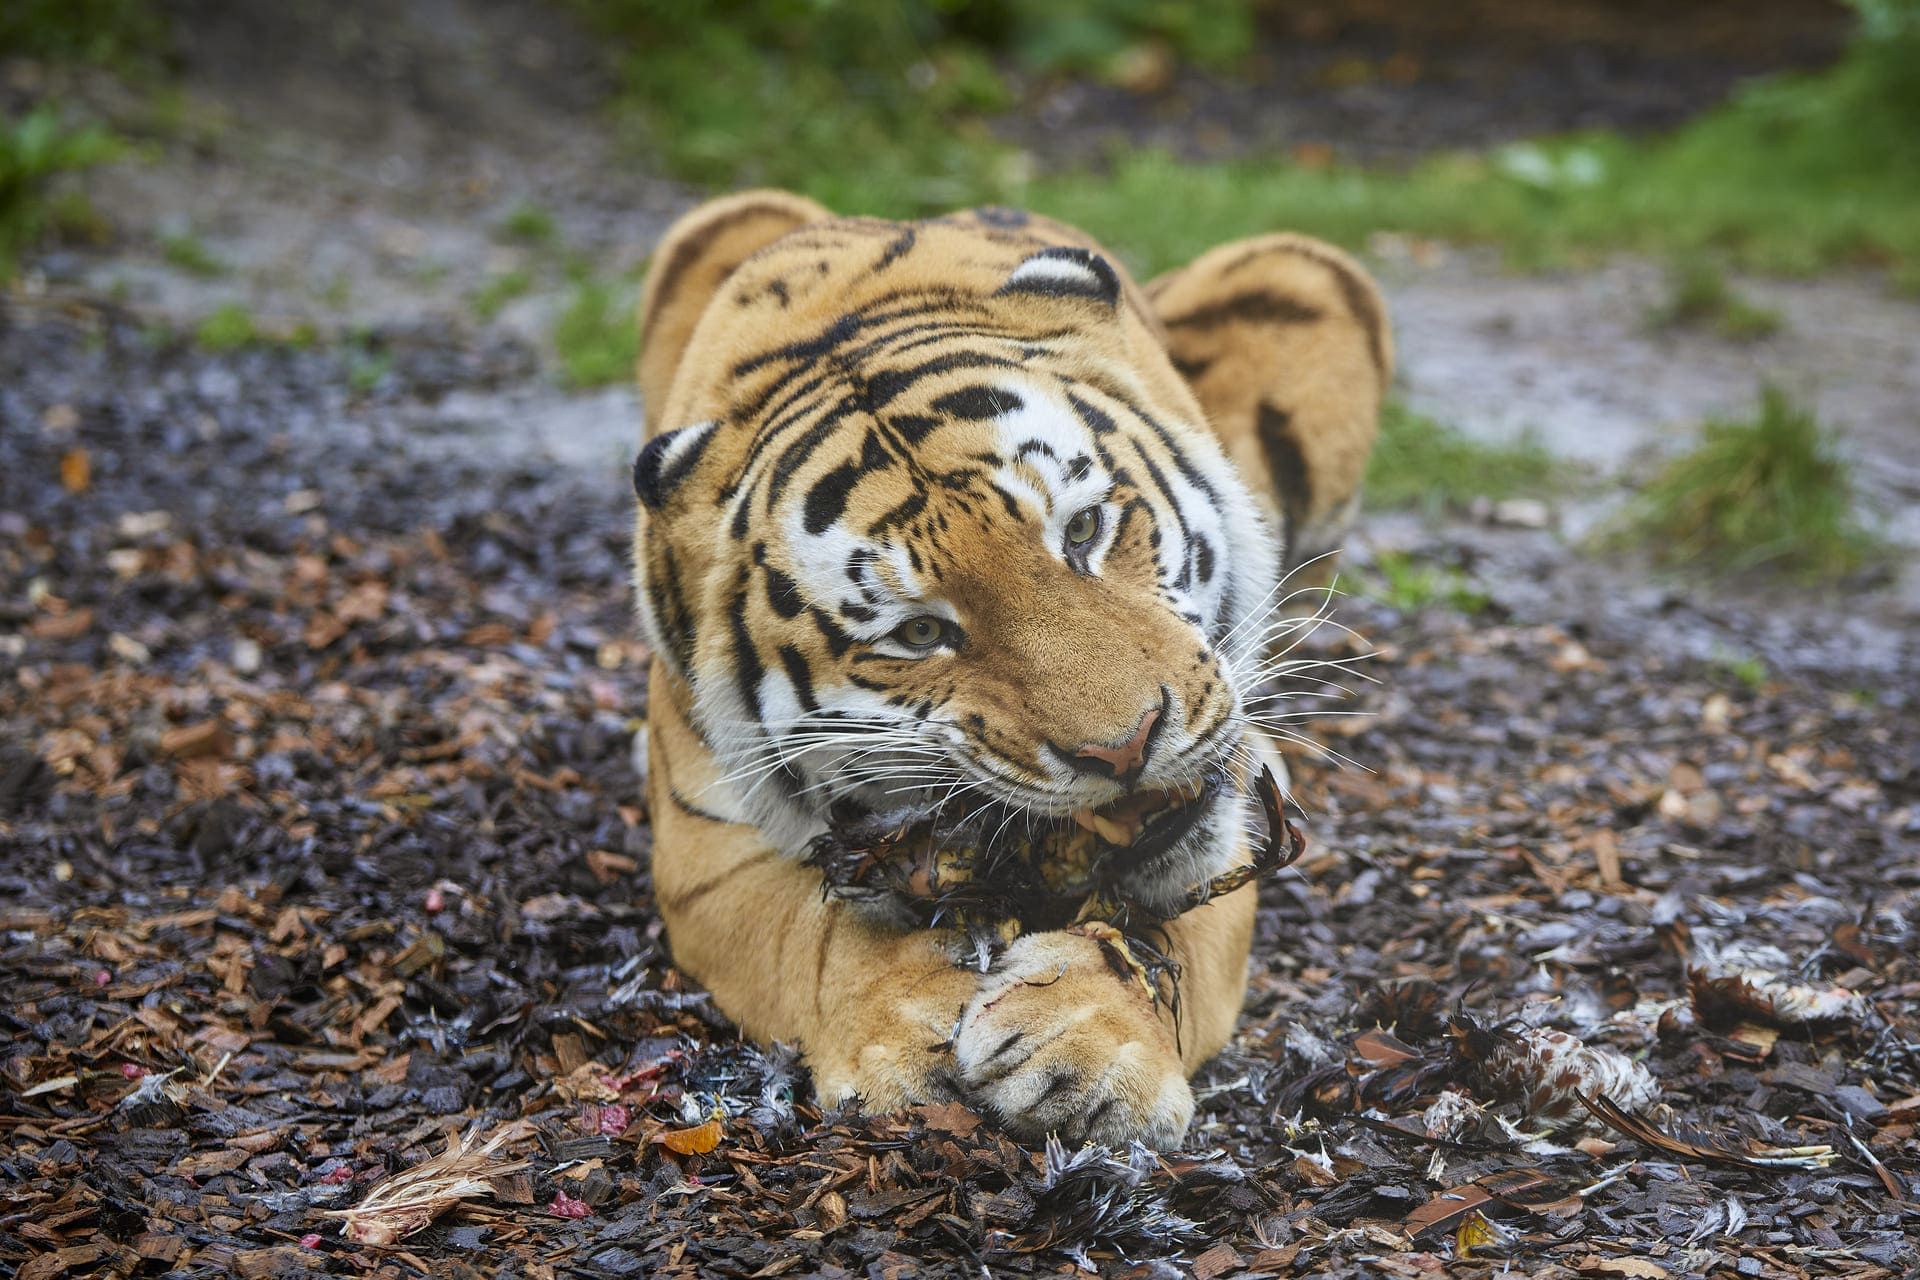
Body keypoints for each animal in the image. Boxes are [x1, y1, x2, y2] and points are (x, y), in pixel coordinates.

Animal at [630, 190, 1389, 1149]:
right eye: (920, 633)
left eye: (1083, 531)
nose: (1127, 747)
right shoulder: (706, 859)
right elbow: (819, 932)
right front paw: (903, 1023)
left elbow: (1167, 931)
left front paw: (1087, 1042)